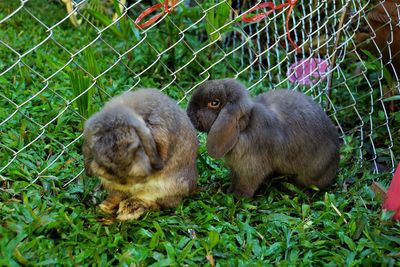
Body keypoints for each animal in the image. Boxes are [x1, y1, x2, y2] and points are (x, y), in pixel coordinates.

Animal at [83, 89, 198, 221]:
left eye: (136, 148)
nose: (123, 181)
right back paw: (105, 207)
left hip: (166, 187)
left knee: (158, 203)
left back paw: (128, 210)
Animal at [186, 78, 340, 198]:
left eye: (214, 103)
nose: (188, 113)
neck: (243, 128)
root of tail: (335, 166)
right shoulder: (237, 169)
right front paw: (230, 190)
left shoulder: (251, 168)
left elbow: (246, 184)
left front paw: (237, 197)